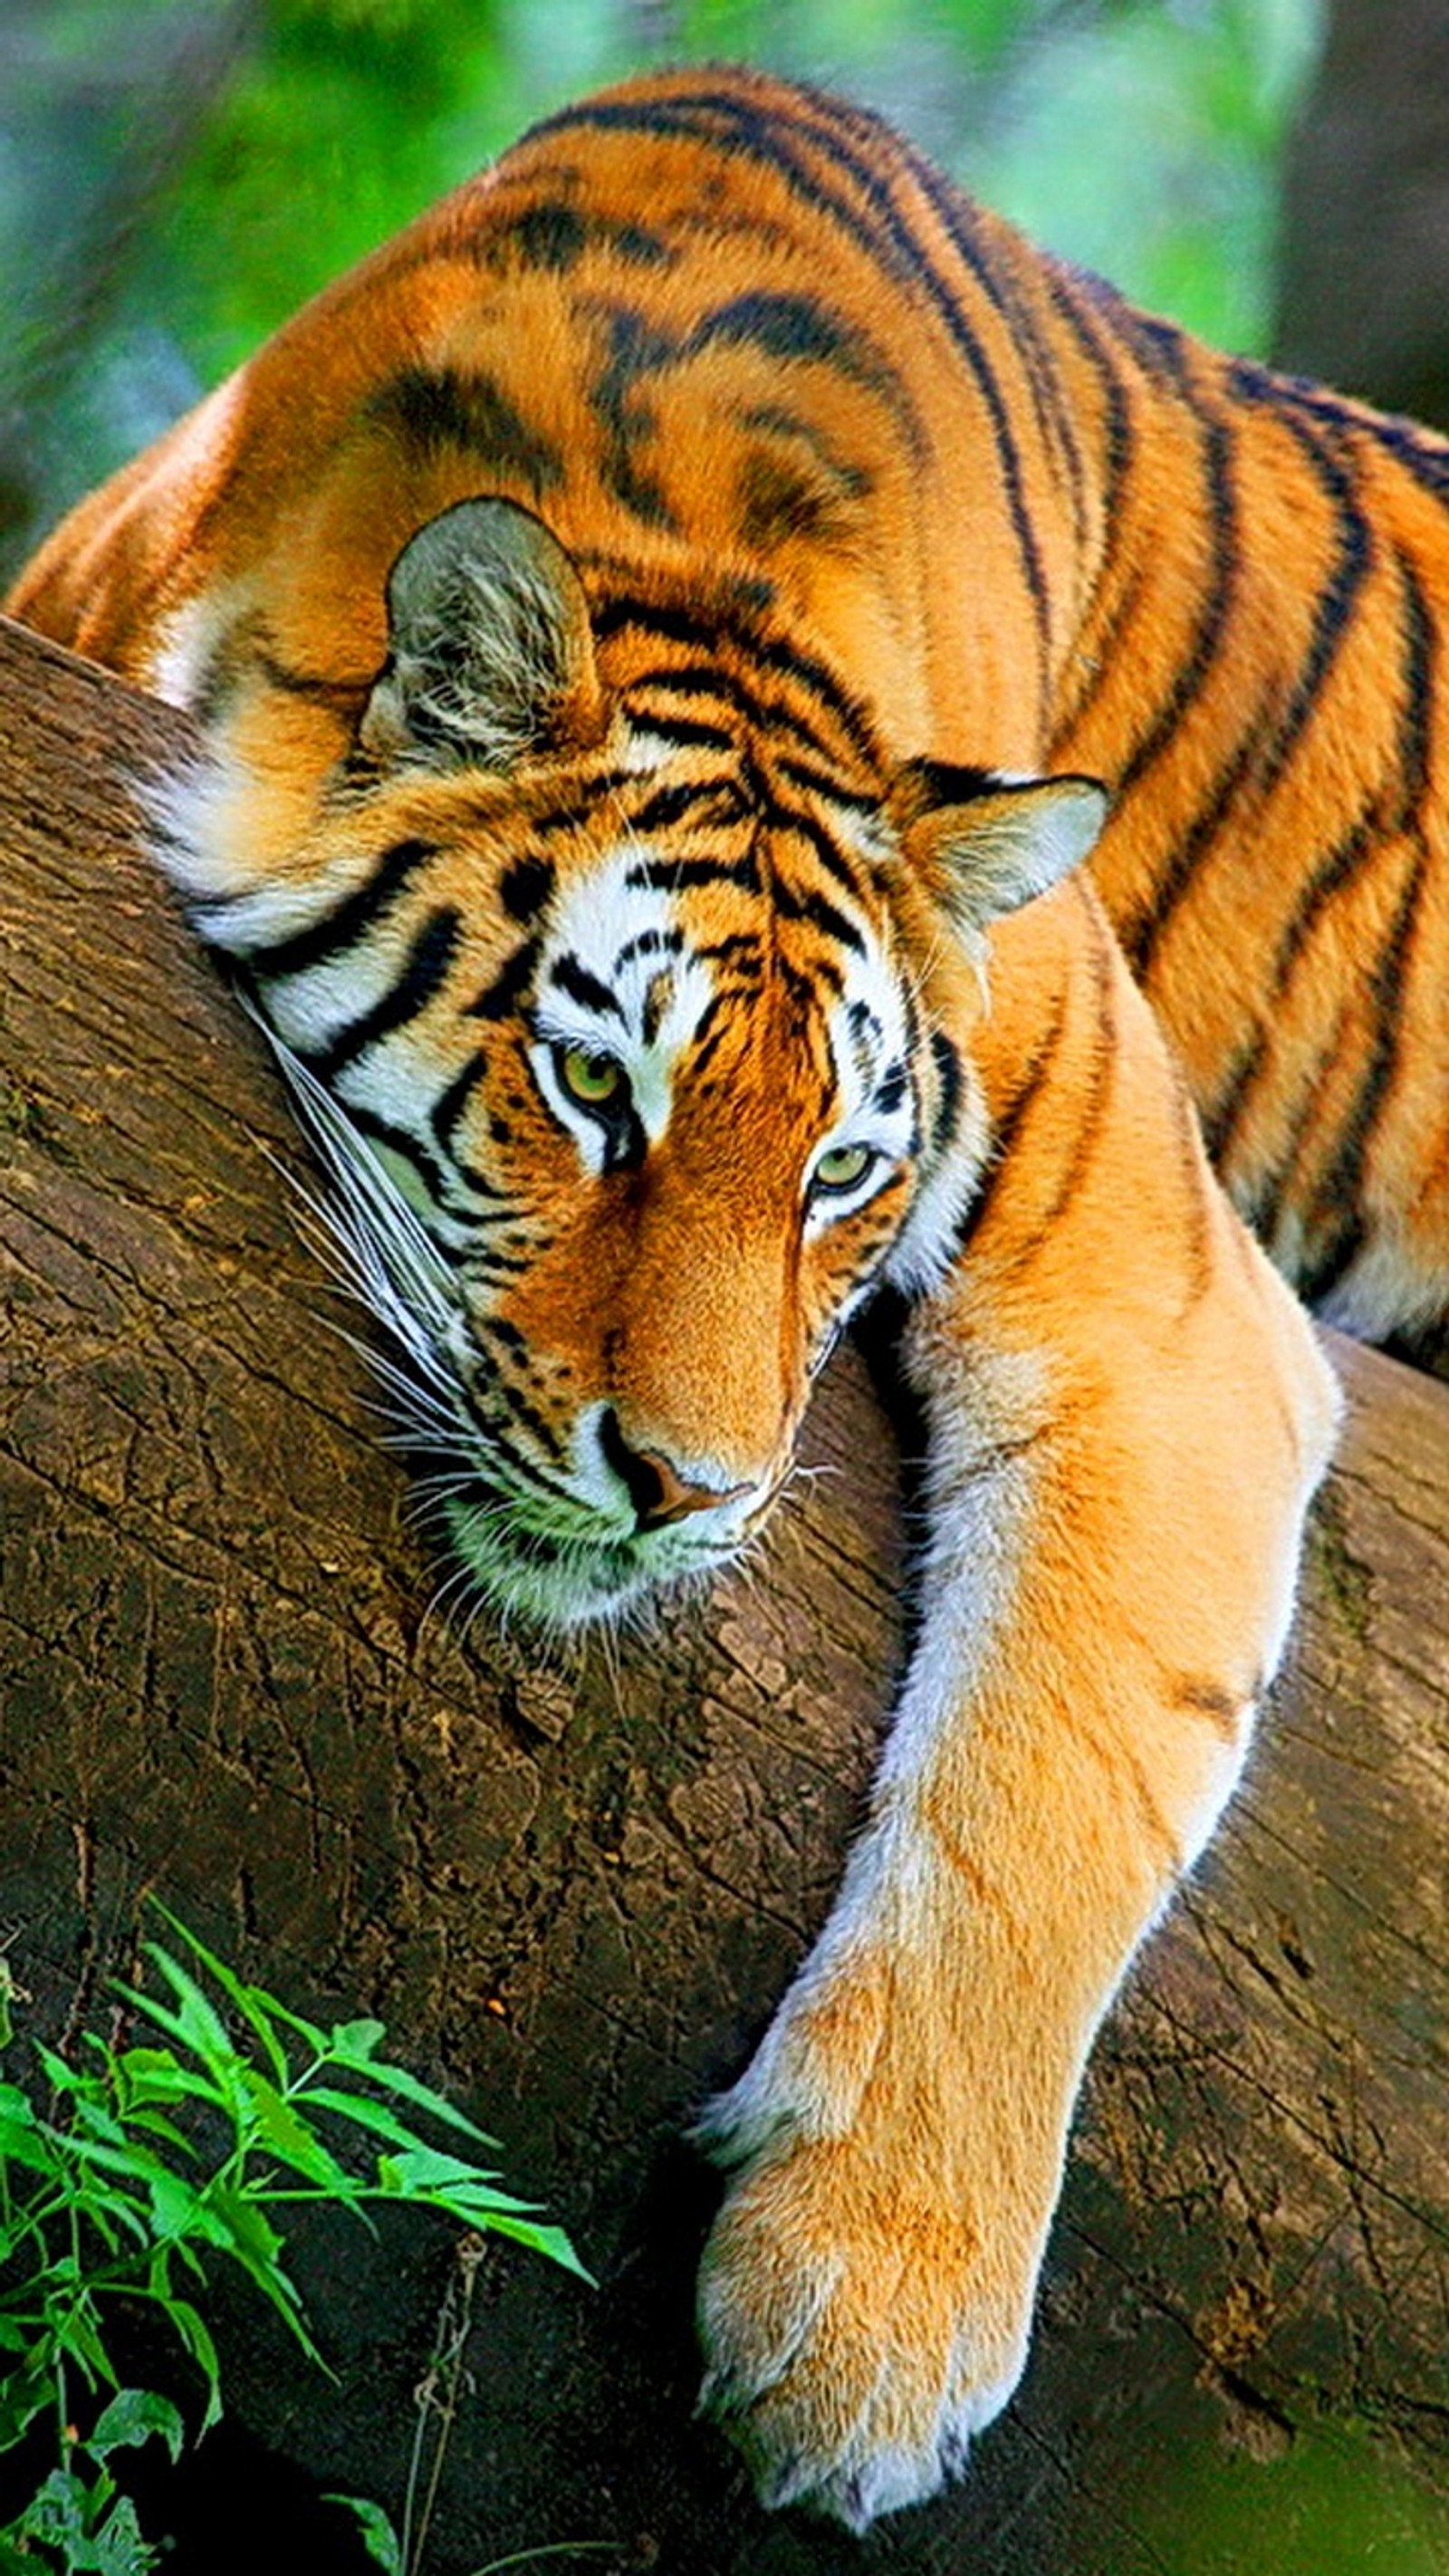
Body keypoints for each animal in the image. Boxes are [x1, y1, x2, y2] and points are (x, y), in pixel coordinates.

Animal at [14, 60, 1449, 2534]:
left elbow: (1057, 1775)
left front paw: (861, 2324)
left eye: (843, 1175)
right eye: (594, 1087)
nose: (682, 1491)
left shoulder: (1170, 1308)